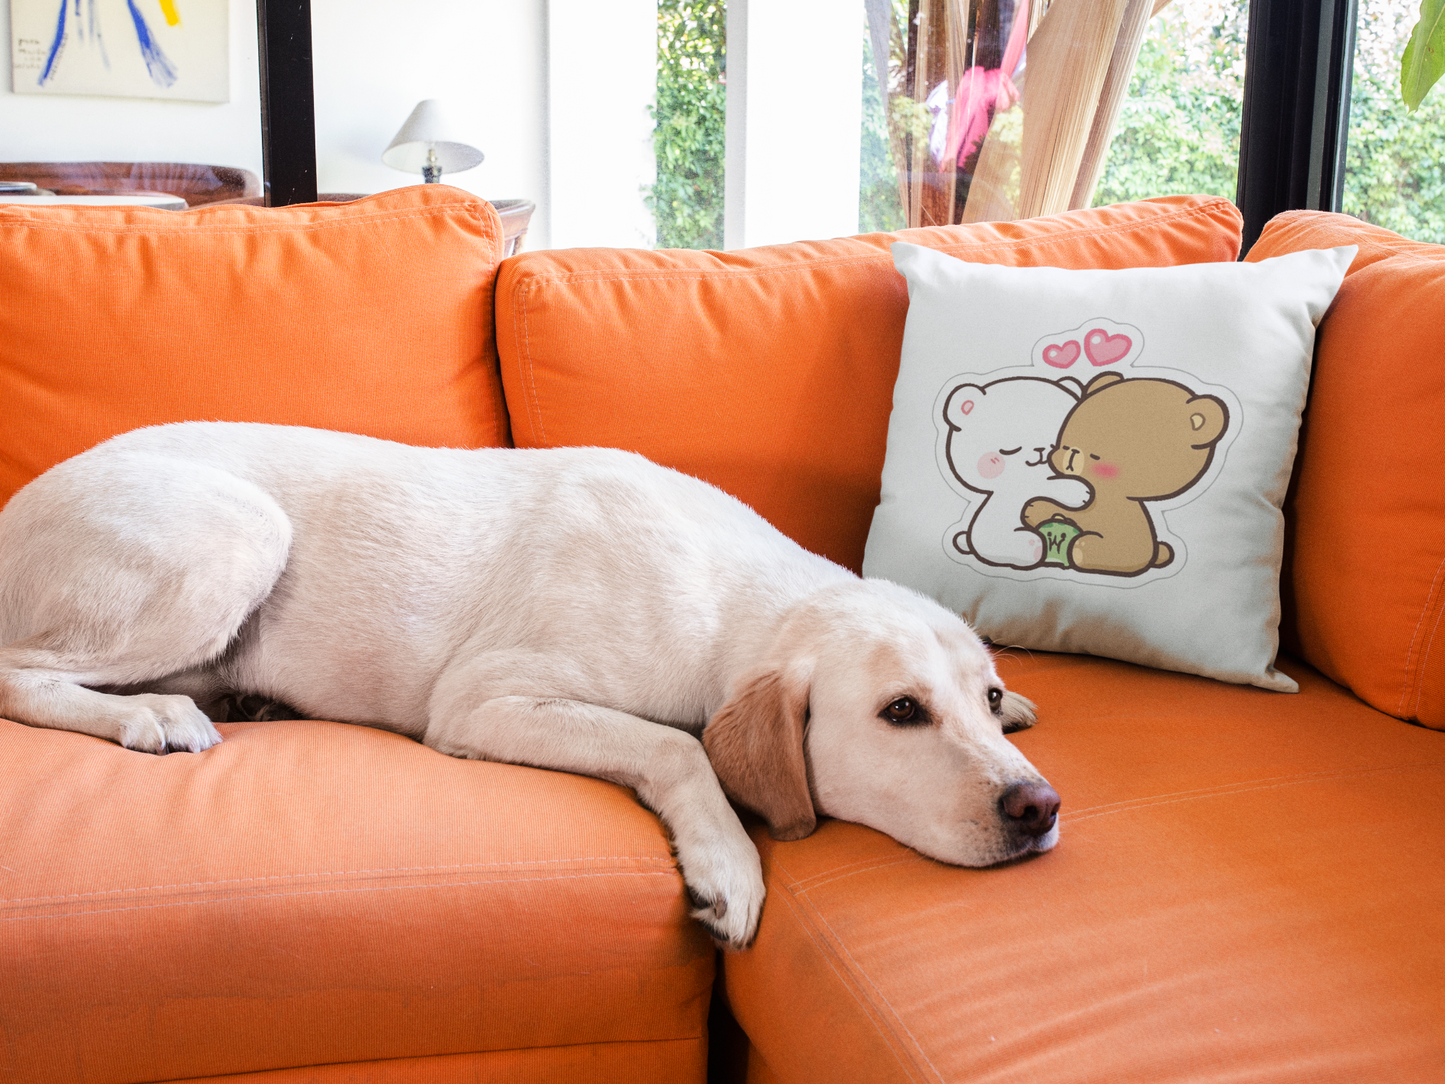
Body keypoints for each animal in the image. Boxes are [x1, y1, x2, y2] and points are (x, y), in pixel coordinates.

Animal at [1022, 372, 1229, 577]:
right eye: (1065, 444)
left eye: (1096, 454)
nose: (1072, 452)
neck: (1105, 493)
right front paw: (1036, 508)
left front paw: (1080, 546)